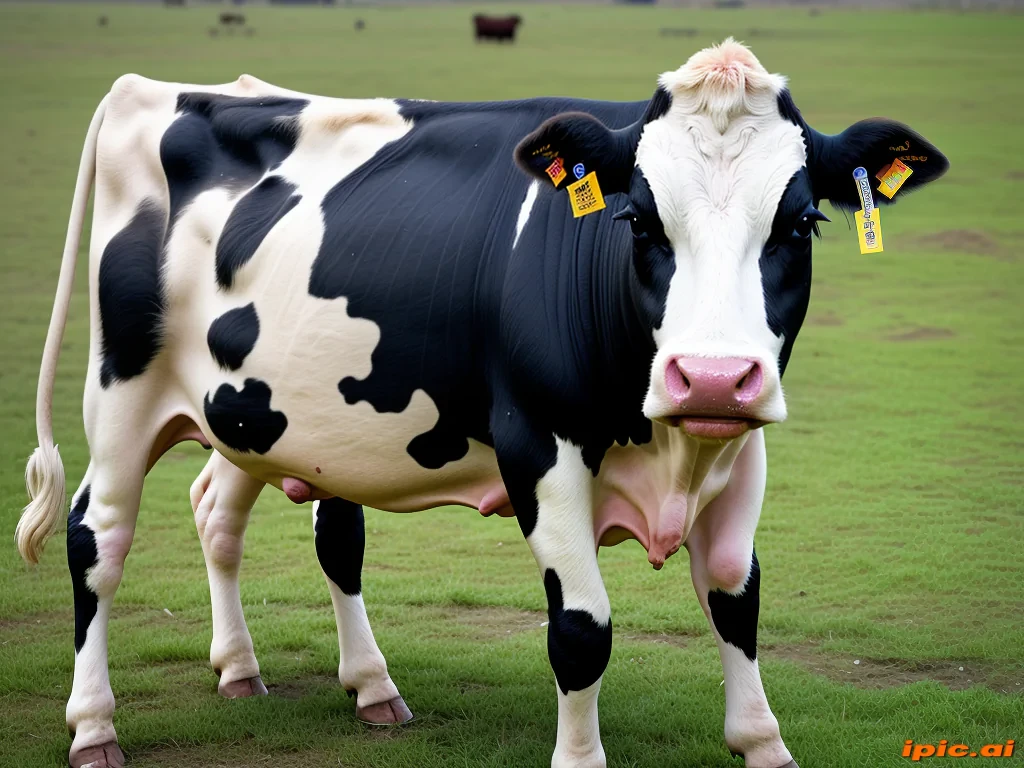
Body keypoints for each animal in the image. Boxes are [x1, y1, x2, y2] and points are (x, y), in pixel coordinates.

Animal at [15, 39, 947, 768]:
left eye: (801, 225)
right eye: (639, 222)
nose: (711, 376)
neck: (669, 451)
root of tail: (162, 89)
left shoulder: (742, 445)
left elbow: (735, 596)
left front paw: (761, 742)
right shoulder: (539, 445)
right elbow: (581, 628)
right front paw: (580, 757)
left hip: (253, 409)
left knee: (247, 520)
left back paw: (298, 675)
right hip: (123, 395)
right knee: (97, 539)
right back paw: (94, 726)